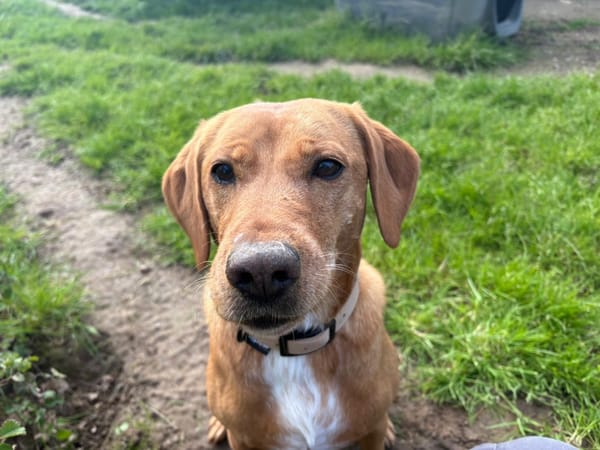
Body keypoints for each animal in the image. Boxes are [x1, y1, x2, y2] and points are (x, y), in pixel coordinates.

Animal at [162, 99, 419, 450]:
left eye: (327, 166)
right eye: (222, 171)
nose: (261, 271)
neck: (294, 348)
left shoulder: (370, 433)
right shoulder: (244, 439)